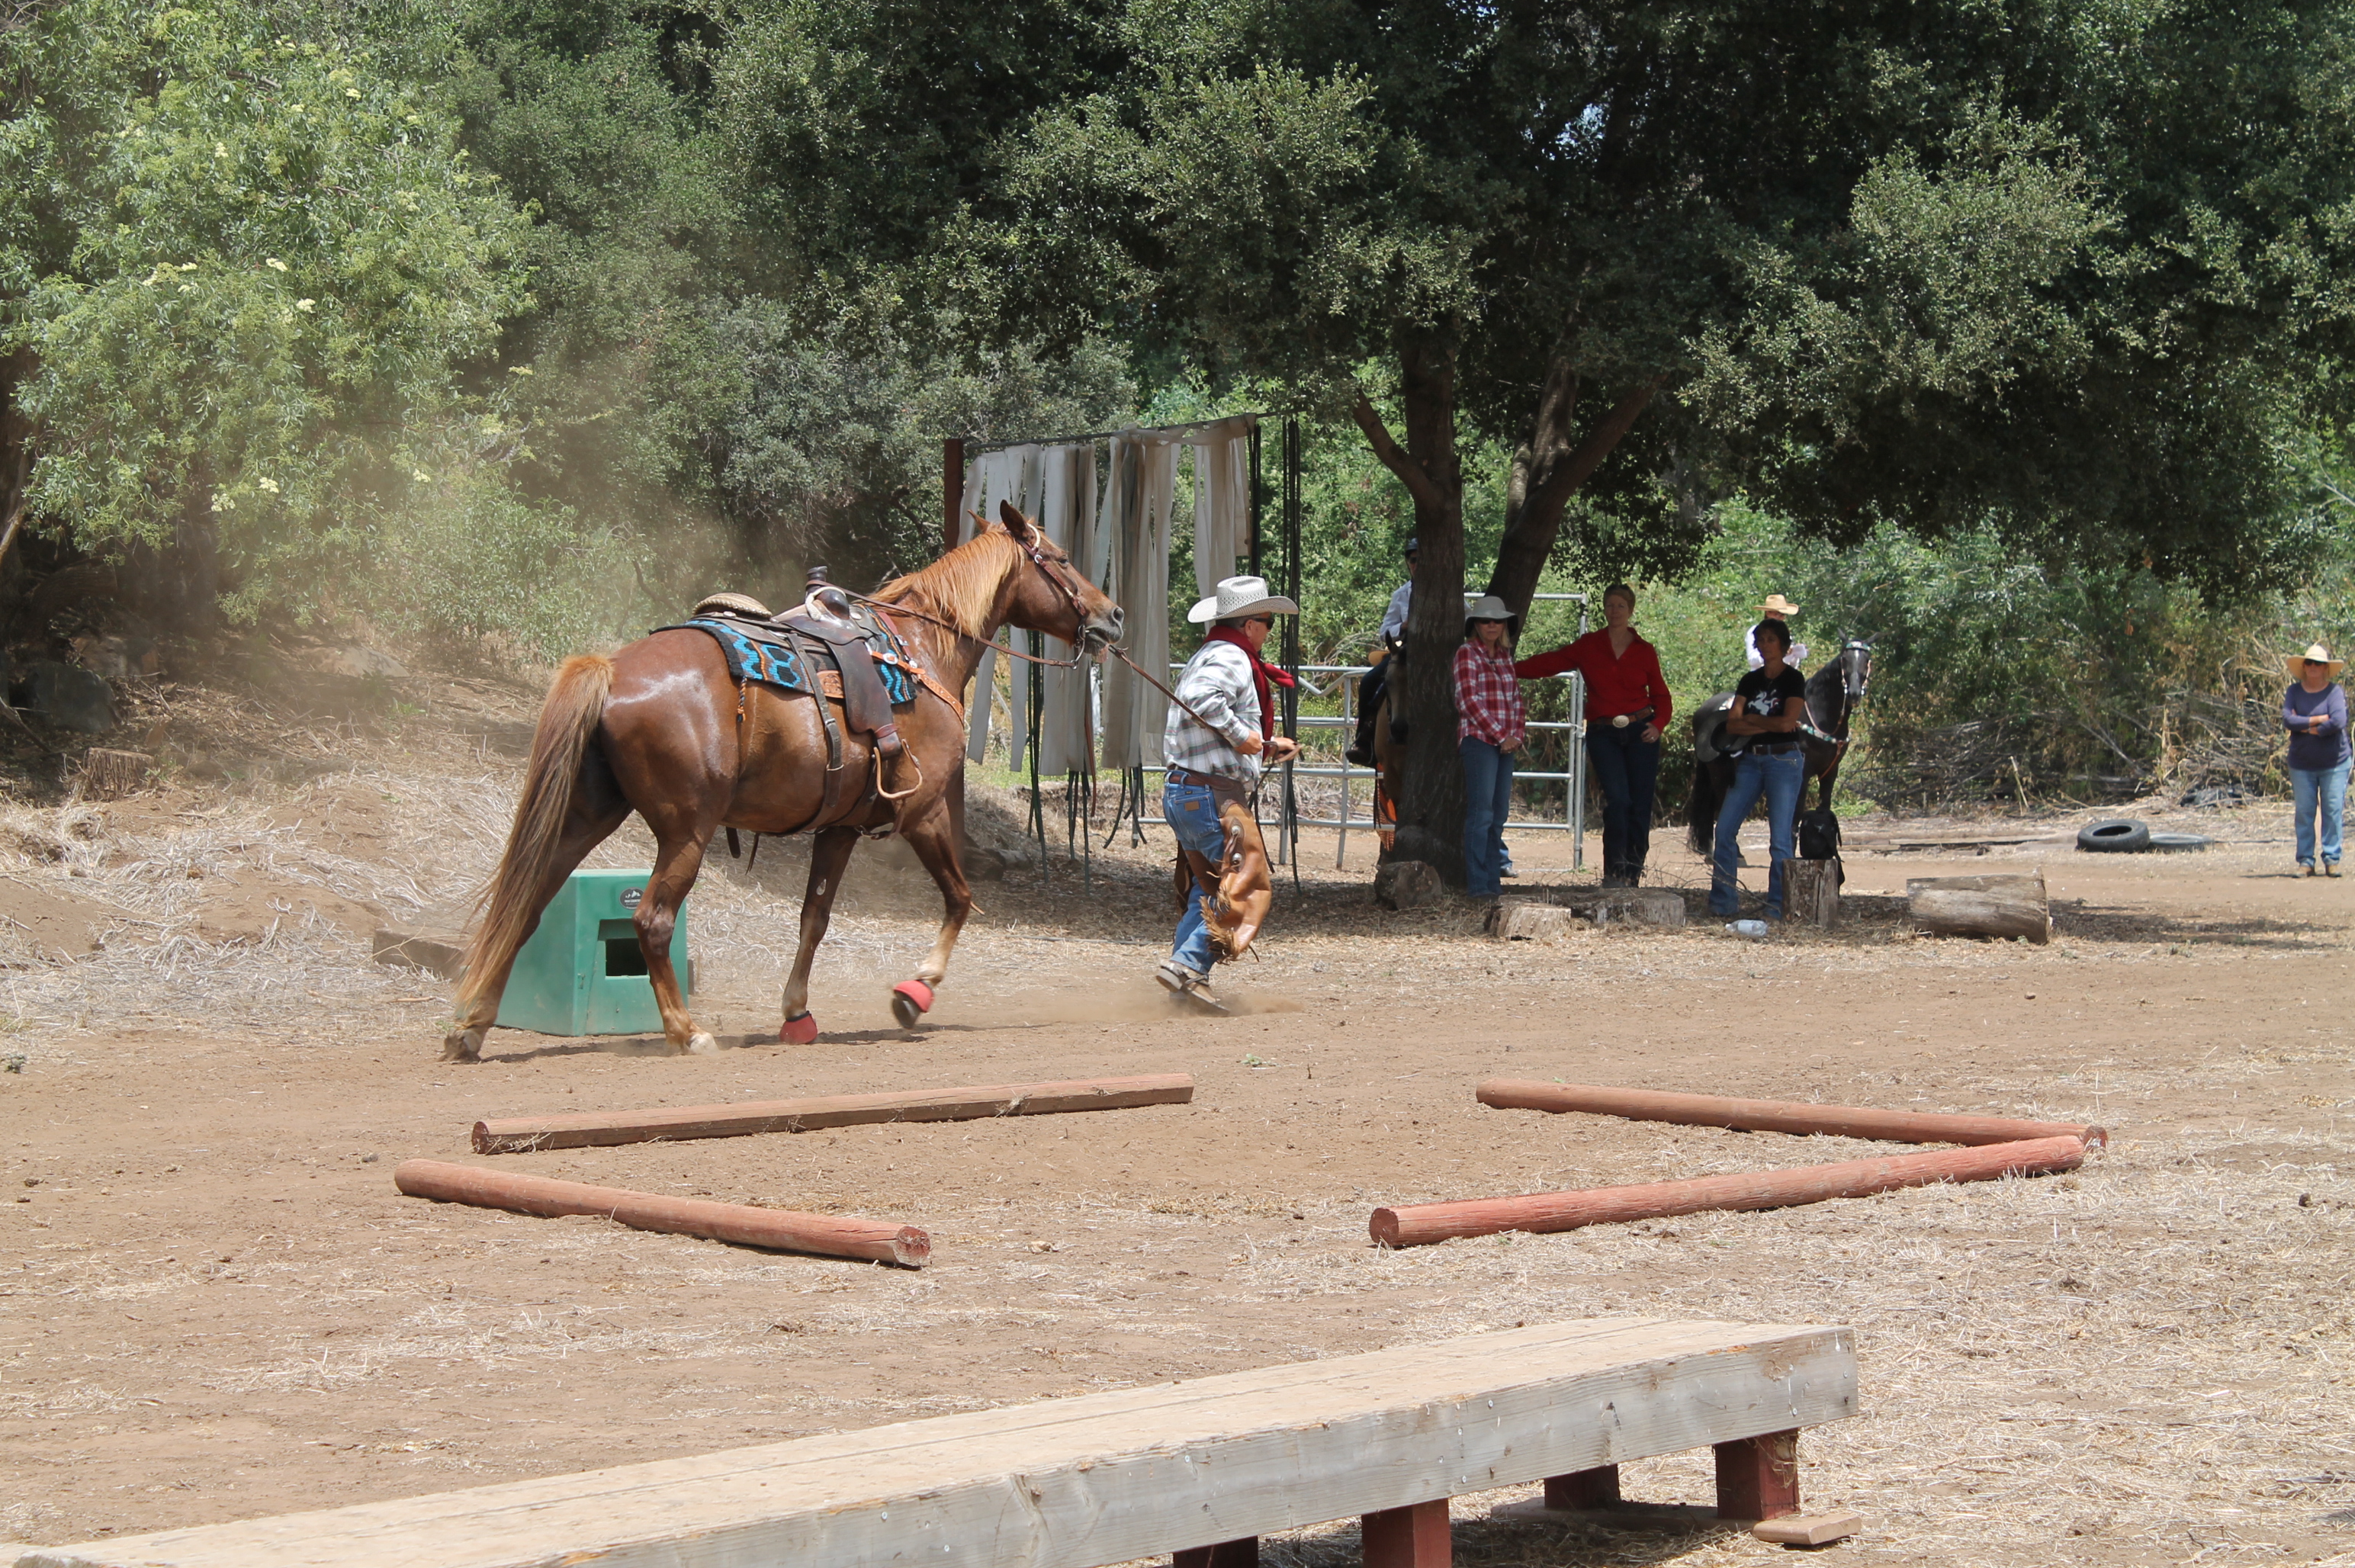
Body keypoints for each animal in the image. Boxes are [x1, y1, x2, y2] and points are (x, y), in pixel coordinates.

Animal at [457, 503, 1130, 1064]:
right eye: (1060, 558)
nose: (1113, 615)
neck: (923, 648)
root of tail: (611, 669)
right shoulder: (922, 812)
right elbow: (960, 898)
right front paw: (915, 992)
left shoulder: (840, 827)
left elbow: (815, 916)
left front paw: (797, 1014)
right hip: (685, 830)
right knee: (650, 919)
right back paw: (686, 1032)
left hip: (589, 812)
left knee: (529, 900)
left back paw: (472, 1026)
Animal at [1676, 640, 1875, 856]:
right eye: (1844, 659)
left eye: (1867, 660)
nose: (1854, 693)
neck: (1819, 717)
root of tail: (1702, 709)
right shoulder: (1803, 773)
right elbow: (1794, 816)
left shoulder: (1830, 772)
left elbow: (1824, 807)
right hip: (1718, 773)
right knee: (1721, 809)